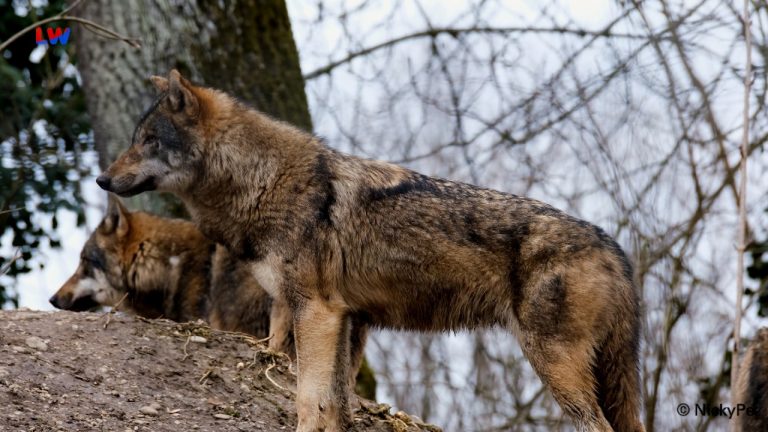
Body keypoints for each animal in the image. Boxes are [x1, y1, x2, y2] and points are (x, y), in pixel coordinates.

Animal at [96, 69, 644, 432]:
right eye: (135, 138)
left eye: (149, 140)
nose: (101, 179)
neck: (262, 181)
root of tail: (616, 248)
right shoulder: (347, 321)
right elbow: (336, 405)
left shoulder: (316, 314)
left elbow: (307, 400)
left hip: (554, 365)